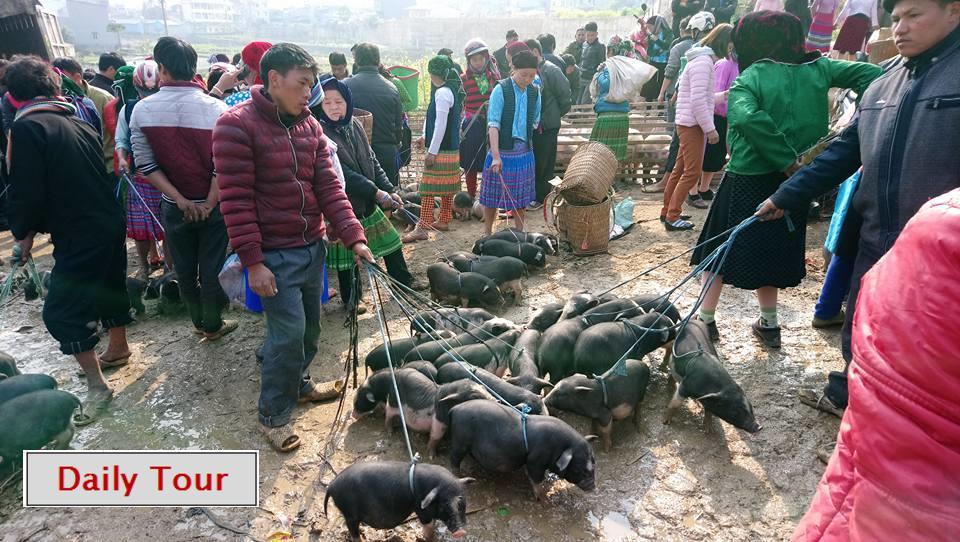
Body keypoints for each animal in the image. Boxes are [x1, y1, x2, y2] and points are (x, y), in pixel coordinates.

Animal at [324, 464, 474, 542]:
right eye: (443, 505)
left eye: (461, 501)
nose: (460, 531)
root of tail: (331, 485)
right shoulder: (420, 509)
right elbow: (428, 525)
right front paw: (427, 538)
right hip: (349, 513)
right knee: (353, 531)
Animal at [448, 404, 596, 502]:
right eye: (579, 469)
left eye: (594, 465)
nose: (593, 488)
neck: (560, 447)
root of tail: (454, 409)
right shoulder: (535, 461)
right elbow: (537, 479)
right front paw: (544, 499)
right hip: (460, 441)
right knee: (453, 459)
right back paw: (459, 474)